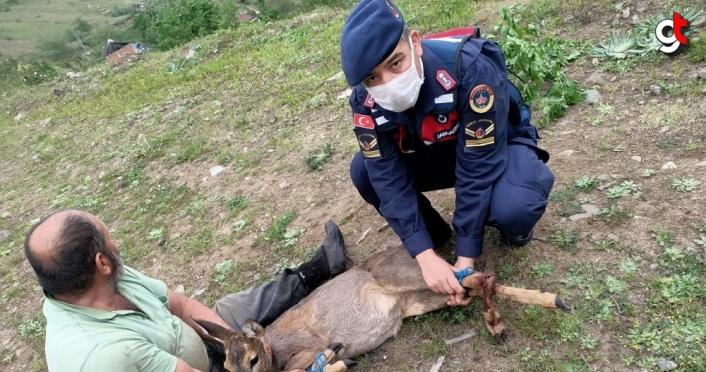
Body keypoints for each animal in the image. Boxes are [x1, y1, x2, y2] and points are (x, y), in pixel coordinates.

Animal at [191, 244, 568, 372]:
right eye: (226, 366)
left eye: (253, 360)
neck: (275, 349)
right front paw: (339, 359)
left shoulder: (305, 346)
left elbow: (301, 367)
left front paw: (336, 357)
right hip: (422, 301)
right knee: (472, 285)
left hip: (407, 277)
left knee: (480, 275)